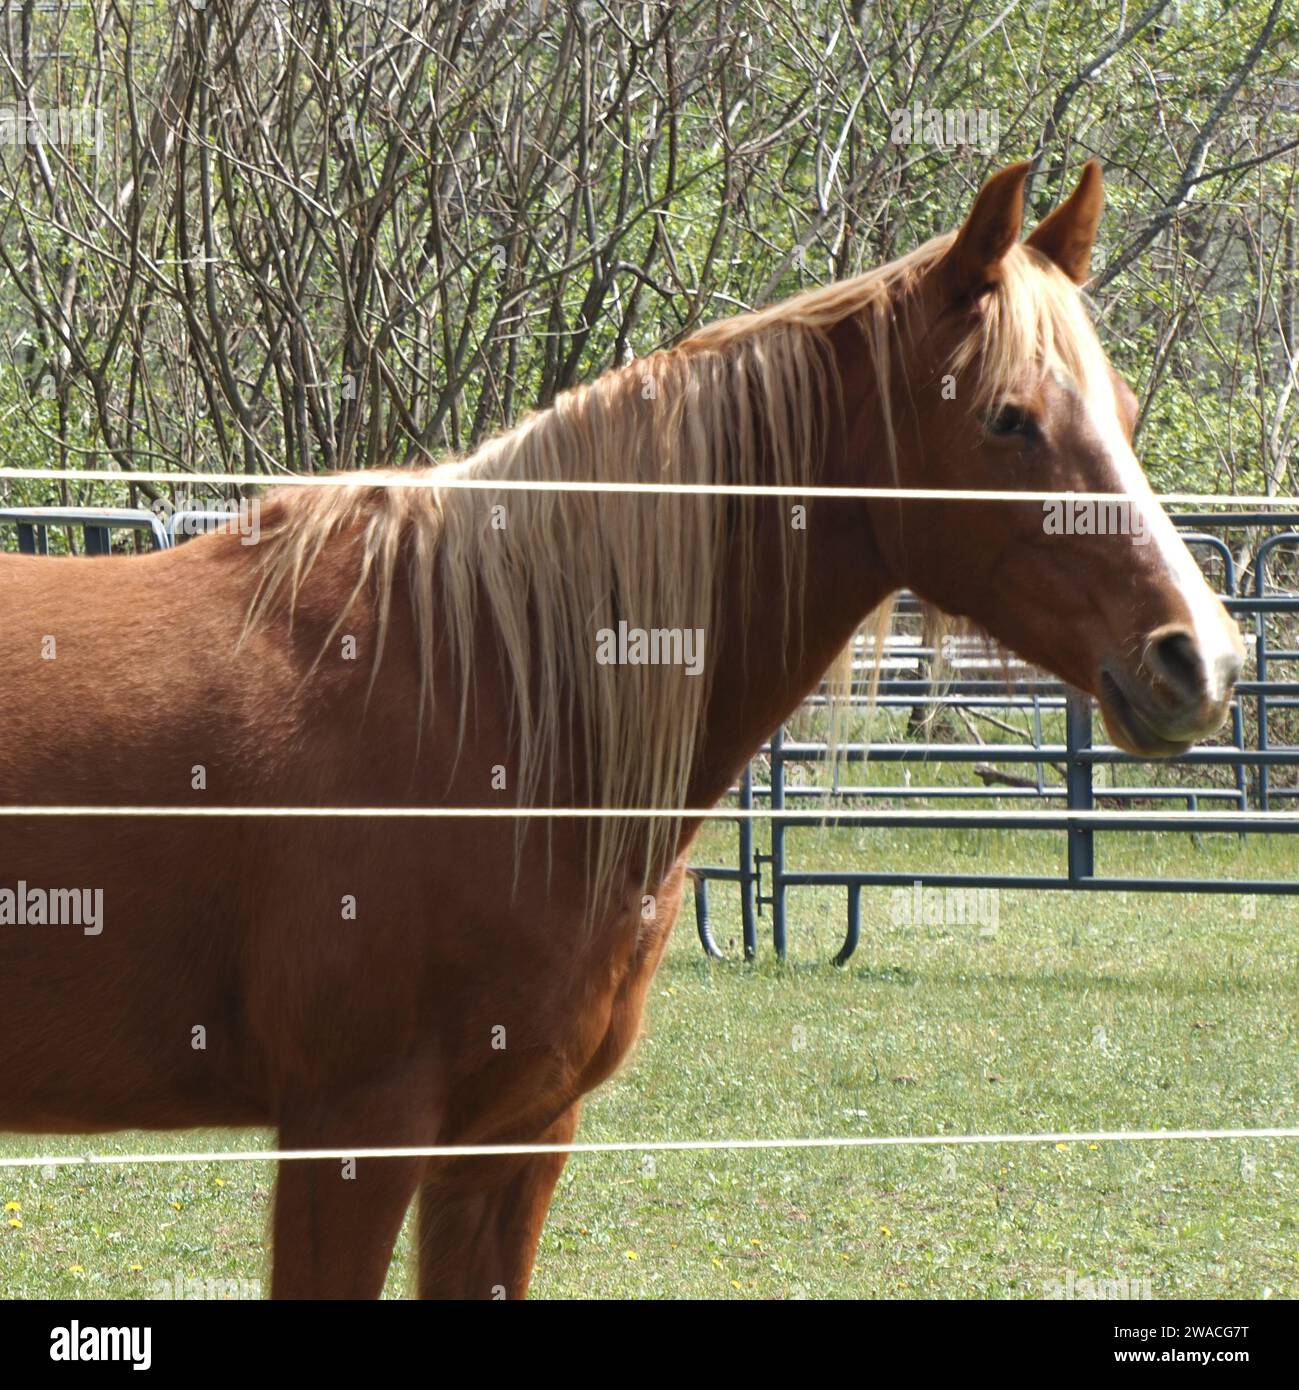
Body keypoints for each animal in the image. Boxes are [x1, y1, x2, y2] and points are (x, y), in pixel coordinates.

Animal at [0, 160, 1244, 1298]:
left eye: (1127, 411)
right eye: (1007, 418)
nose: (1200, 659)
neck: (487, 687)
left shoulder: (514, 1137)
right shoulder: (348, 1132)